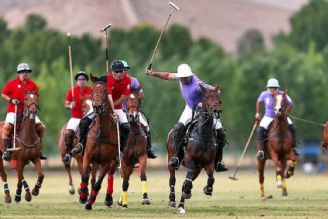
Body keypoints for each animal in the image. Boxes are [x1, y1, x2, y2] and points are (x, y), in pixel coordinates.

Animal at [79, 75, 118, 210]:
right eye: (92, 90)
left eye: (106, 91)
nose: (97, 106)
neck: (101, 132)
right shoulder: (87, 156)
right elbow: (85, 176)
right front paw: (83, 196)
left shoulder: (107, 162)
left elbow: (98, 183)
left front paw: (89, 203)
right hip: (95, 161)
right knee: (91, 176)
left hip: (114, 161)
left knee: (110, 175)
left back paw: (108, 199)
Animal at [167, 84, 220, 214]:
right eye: (206, 97)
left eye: (219, 97)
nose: (216, 110)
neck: (204, 134)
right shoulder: (189, 159)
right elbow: (187, 180)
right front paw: (187, 192)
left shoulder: (208, 163)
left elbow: (211, 178)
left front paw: (207, 189)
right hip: (171, 159)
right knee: (173, 179)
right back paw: (172, 200)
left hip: (198, 168)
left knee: (186, 181)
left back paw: (181, 206)